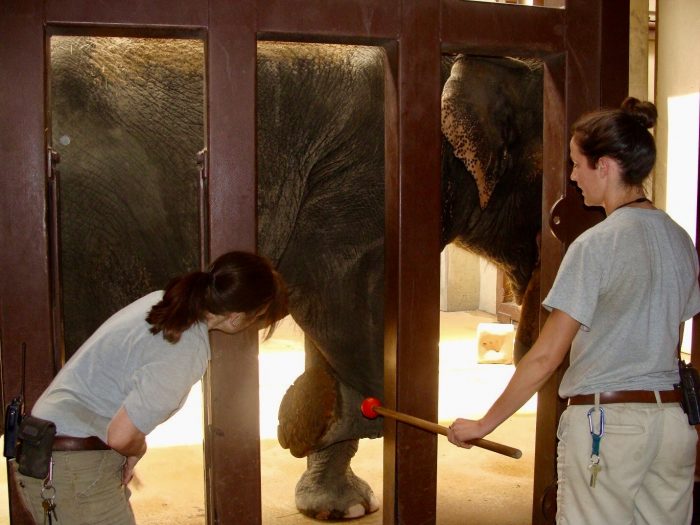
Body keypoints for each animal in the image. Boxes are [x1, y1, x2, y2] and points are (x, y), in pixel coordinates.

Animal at [50, 37, 540, 520]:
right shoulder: (365, 179)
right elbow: (340, 298)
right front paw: (318, 419)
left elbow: (330, 322)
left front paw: (339, 498)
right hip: (90, 232)